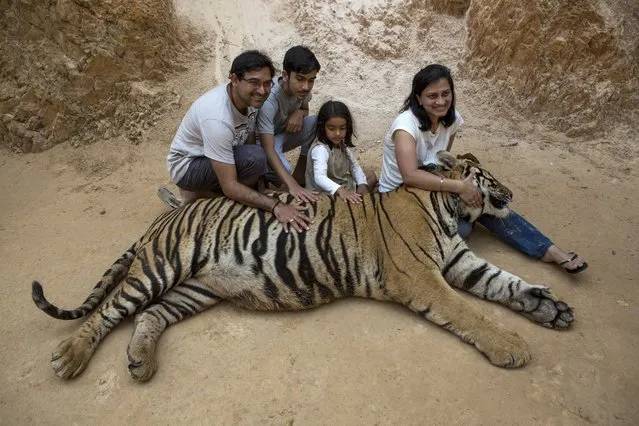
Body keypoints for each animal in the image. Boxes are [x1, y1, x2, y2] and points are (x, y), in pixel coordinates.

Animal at [32, 151, 576, 382]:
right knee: (110, 312)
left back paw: (141, 363)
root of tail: (165, 214)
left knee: (150, 315)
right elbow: (473, 314)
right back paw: (69, 358)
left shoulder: (461, 263)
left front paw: (553, 310)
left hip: (197, 288)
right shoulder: (423, 277)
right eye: (490, 176)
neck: (445, 207)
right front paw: (512, 346)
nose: (513, 193)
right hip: (163, 266)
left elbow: (509, 285)